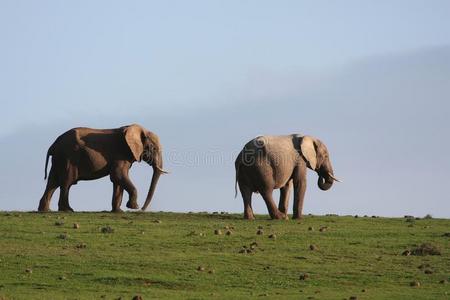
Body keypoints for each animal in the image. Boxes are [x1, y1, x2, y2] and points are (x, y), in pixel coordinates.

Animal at [37, 123, 168, 212]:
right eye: (154, 148)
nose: (142, 209)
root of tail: (53, 145)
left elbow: (117, 180)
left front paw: (118, 211)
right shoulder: (121, 153)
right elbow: (118, 175)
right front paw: (133, 207)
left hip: (59, 159)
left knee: (53, 182)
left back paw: (45, 211)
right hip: (69, 157)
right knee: (67, 182)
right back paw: (68, 210)